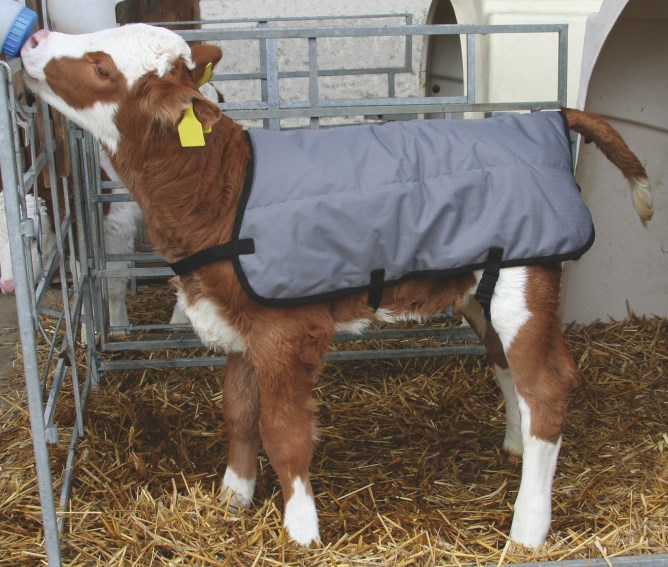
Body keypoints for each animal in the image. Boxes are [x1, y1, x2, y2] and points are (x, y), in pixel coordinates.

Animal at [20, 24, 652, 548]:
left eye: (101, 66)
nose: (33, 38)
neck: (217, 187)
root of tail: (547, 118)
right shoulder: (241, 318)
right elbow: (238, 412)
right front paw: (232, 498)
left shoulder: (286, 329)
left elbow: (283, 430)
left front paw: (301, 530)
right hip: (481, 286)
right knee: (507, 369)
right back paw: (515, 449)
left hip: (526, 282)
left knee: (546, 386)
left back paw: (528, 528)